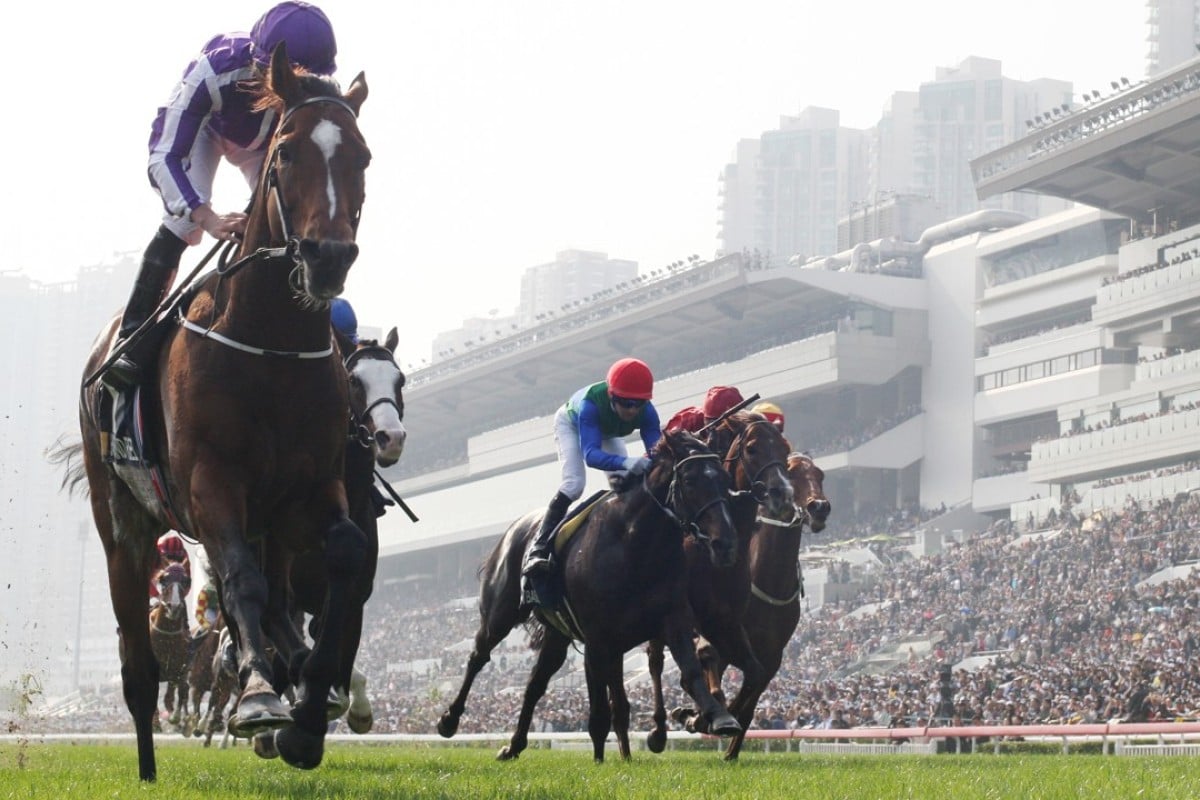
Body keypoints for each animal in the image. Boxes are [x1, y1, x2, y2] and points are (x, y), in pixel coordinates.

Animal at [62, 42, 369, 777]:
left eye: (363, 157)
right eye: (285, 152)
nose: (328, 257)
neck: (269, 340)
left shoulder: (312, 487)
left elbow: (342, 560)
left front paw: (308, 713)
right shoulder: (210, 484)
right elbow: (240, 587)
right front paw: (259, 698)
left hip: (268, 521)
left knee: (279, 602)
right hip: (122, 528)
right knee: (140, 665)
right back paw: (150, 764)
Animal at [436, 431, 744, 762]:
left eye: (725, 479)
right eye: (689, 480)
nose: (726, 543)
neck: (637, 544)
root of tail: (514, 528)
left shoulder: (670, 620)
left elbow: (688, 672)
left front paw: (721, 717)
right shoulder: (598, 638)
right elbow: (600, 710)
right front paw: (600, 761)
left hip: (557, 635)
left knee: (534, 684)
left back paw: (514, 745)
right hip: (499, 614)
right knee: (478, 656)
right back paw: (449, 720)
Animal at [667, 450, 825, 758]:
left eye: (820, 475)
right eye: (792, 473)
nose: (820, 508)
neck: (767, 580)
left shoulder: (772, 655)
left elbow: (748, 703)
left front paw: (729, 747)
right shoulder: (720, 636)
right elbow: (710, 668)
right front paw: (702, 717)